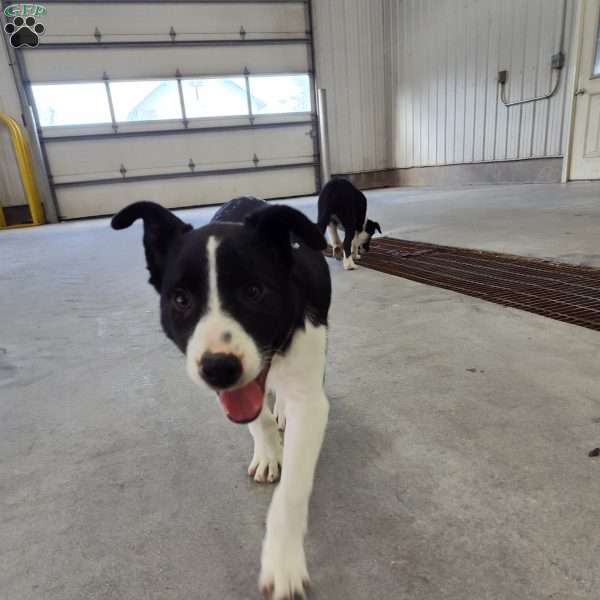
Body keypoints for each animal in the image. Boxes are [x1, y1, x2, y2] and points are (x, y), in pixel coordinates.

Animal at [112, 198, 332, 600]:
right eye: (180, 299)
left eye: (254, 291)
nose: (218, 367)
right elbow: (257, 418)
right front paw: (268, 452)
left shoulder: (310, 396)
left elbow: (292, 488)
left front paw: (283, 560)